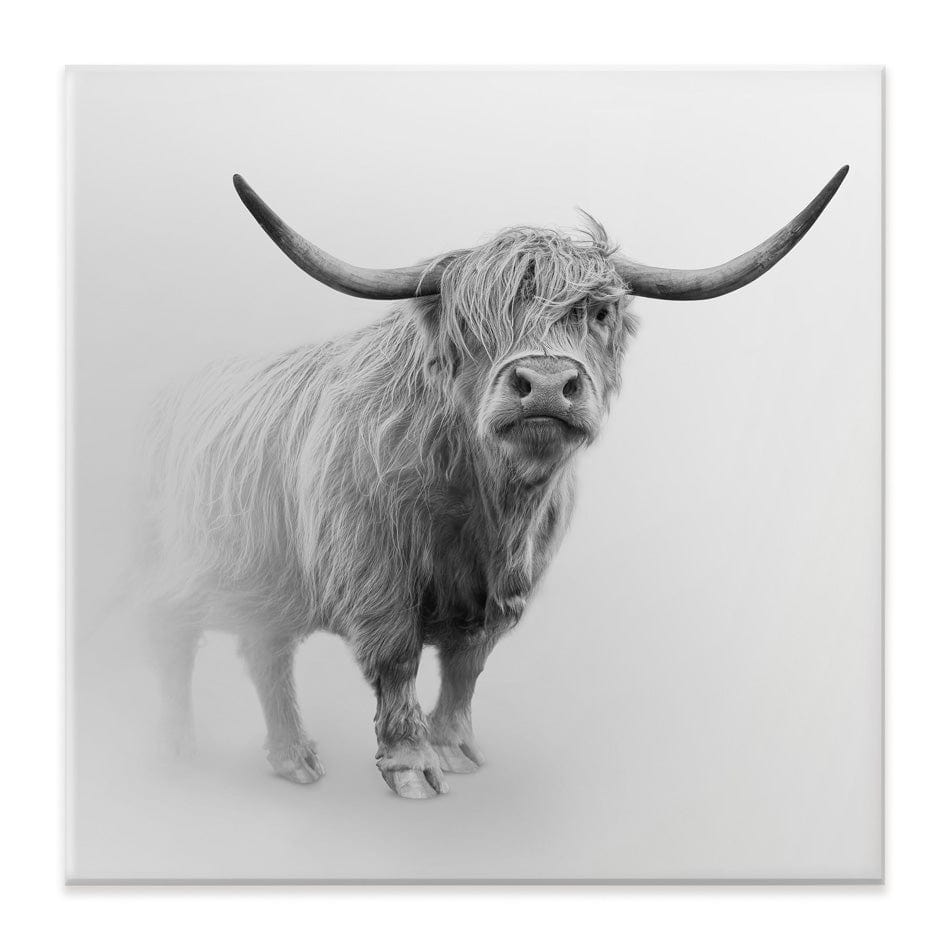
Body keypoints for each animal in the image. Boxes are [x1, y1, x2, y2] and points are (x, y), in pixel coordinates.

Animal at [141, 166, 848, 799]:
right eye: (471, 323)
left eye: (597, 312)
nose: (545, 384)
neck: (484, 501)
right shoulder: (375, 573)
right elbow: (397, 660)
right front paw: (411, 765)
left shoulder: (503, 588)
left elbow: (466, 665)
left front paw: (454, 749)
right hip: (186, 564)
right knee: (174, 631)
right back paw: (175, 747)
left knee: (266, 650)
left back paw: (293, 759)